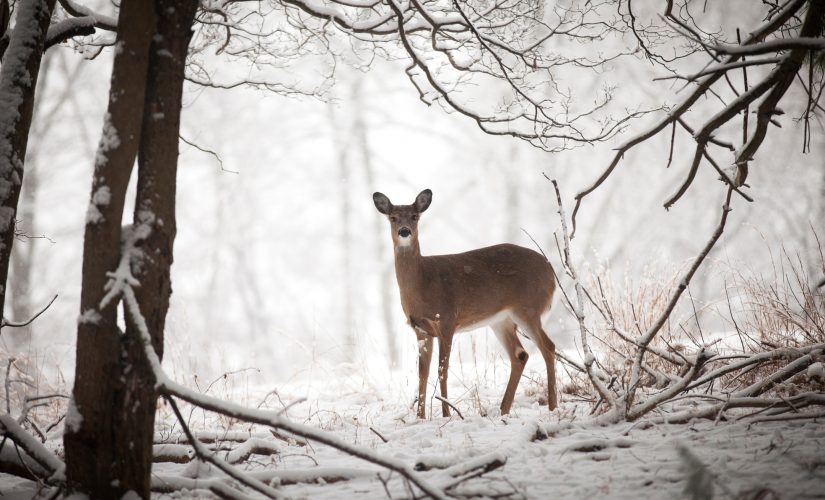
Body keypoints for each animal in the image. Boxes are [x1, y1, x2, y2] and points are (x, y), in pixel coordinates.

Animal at [374, 188, 560, 418]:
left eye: (415, 216)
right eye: (392, 218)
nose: (404, 231)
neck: (423, 282)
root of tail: (551, 271)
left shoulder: (447, 320)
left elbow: (442, 370)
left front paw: (447, 413)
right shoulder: (421, 329)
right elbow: (422, 374)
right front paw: (420, 417)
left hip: (528, 308)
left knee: (548, 347)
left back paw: (552, 407)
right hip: (501, 320)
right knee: (520, 355)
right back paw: (503, 410)